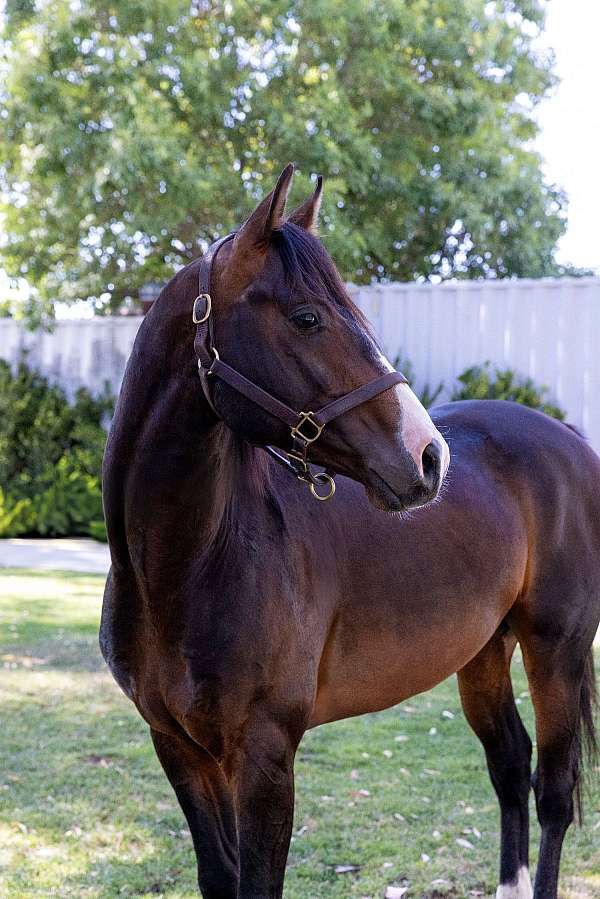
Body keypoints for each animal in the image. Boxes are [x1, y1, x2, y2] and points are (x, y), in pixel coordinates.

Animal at [101, 164, 599, 899]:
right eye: (307, 317)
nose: (428, 457)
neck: (186, 568)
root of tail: (570, 441)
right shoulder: (178, 748)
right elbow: (220, 876)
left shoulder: (265, 754)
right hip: (483, 649)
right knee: (509, 766)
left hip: (554, 648)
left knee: (553, 794)